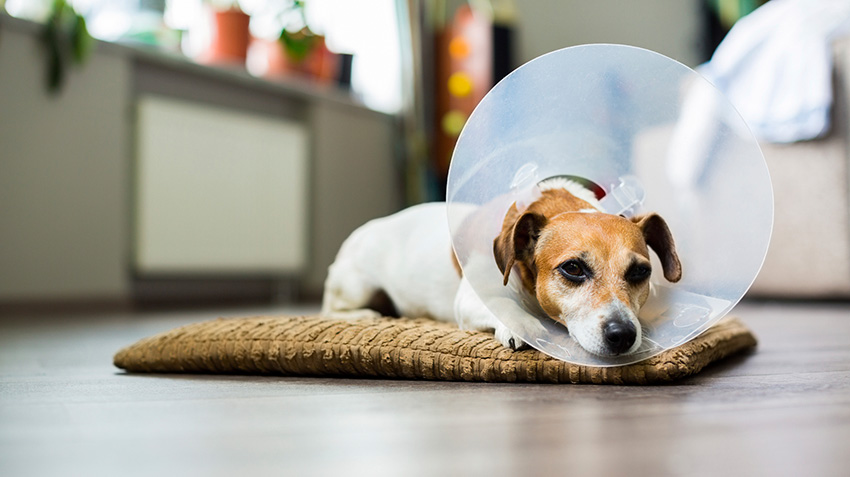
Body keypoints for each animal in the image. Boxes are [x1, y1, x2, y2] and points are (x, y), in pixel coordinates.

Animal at [320, 177, 684, 356]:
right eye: (573, 268)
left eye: (640, 272)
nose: (623, 335)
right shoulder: (472, 297)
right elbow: (502, 305)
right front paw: (523, 326)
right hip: (356, 285)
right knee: (331, 309)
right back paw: (367, 315)